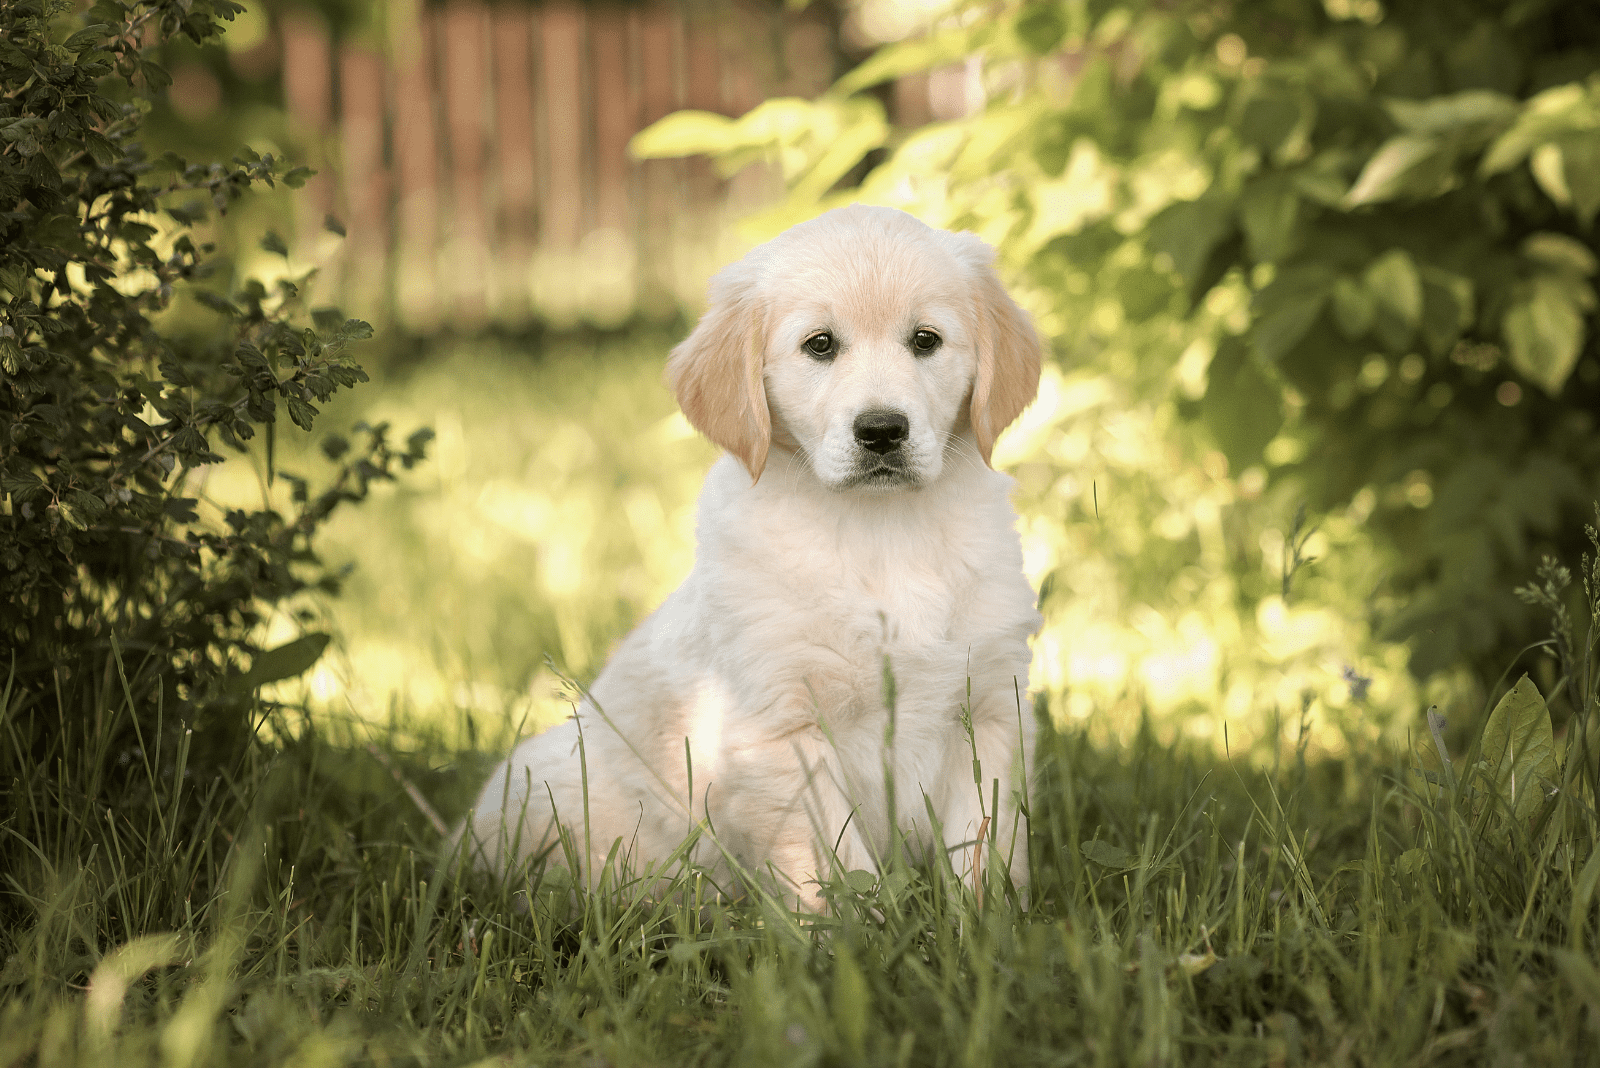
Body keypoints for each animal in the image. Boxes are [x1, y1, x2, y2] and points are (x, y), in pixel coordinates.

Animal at [457, 206, 1043, 908]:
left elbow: (983, 850)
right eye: (820, 345)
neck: (880, 530)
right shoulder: (782, 731)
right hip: (546, 787)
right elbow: (834, 870)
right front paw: (858, 931)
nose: (881, 431)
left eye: (925, 340)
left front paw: (986, 925)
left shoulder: (990, 708)